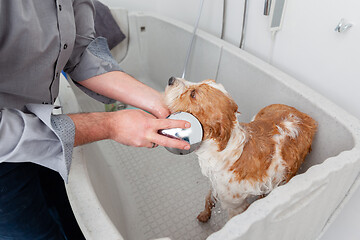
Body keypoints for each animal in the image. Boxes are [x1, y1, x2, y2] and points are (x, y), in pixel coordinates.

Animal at [165, 77, 316, 221]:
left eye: (193, 94)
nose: (171, 79)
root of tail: (306, 117)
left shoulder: (235, 205)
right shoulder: (216, 183)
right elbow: (208, 198)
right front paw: (204, 215)